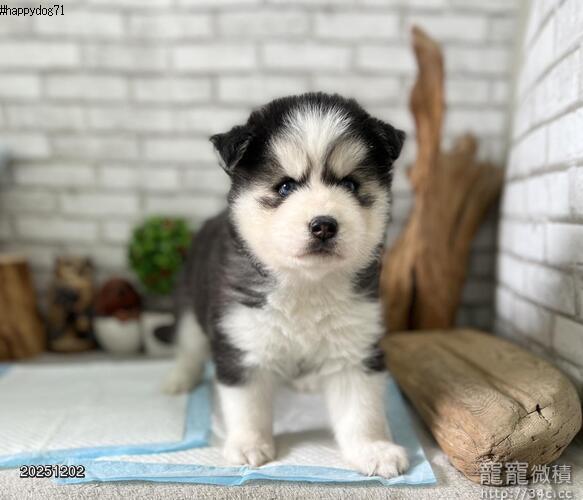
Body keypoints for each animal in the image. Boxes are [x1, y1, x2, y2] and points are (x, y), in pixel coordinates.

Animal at [164, 92, 408, 478]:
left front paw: (374, 449)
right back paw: (179, 379)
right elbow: (247, 405)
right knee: (188, 347)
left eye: (350, 184)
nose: (324, 225)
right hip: (190, 308)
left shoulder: (356, 346)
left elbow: (362, 411)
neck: (305, 284)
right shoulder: (242, 340)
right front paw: (249, 444)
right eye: (285, 186)